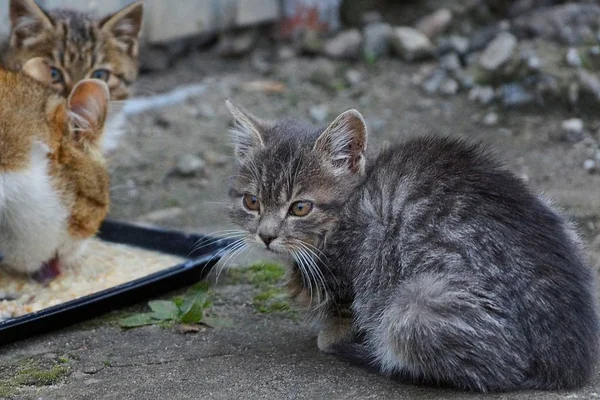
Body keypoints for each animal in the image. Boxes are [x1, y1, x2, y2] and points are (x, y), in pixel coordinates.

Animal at [226, 101, 600, 392]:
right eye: (252, 202)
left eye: (300, 208)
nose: (266, 235)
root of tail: (568, 361)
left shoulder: (352, 267)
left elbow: (344, 306)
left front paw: (332, 336)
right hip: (561, 219)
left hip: (415, 306)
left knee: (497, 373)